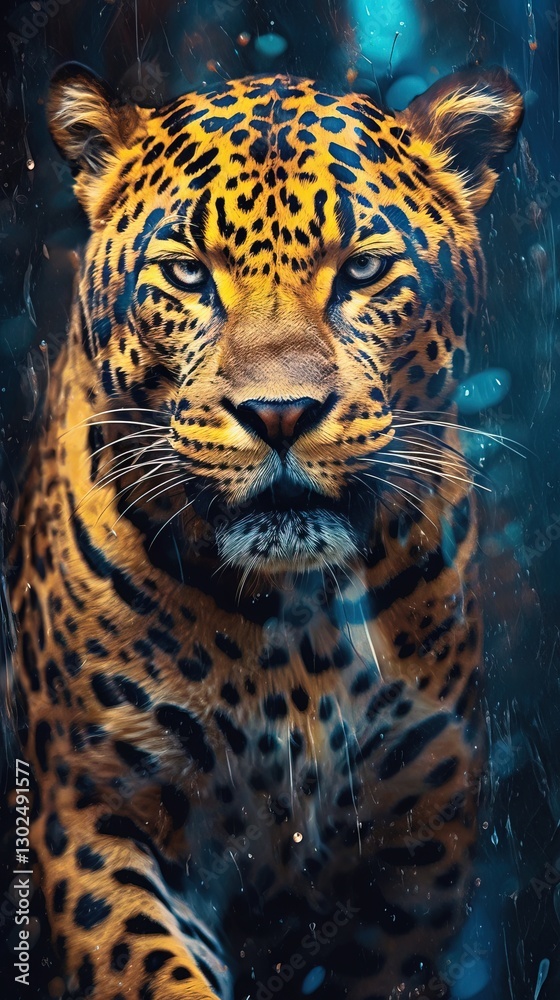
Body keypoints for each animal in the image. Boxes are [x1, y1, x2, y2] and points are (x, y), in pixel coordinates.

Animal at [8, 62, 523, 1000]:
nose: (279, 413)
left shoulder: (421, 846)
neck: (298, 630)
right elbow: (150, 966)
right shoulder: (91, 807)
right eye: (186, 275)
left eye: (364, 270)